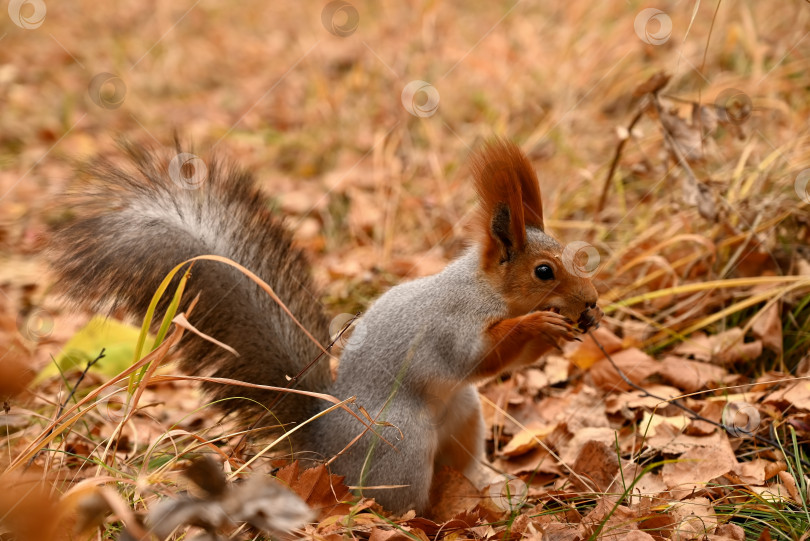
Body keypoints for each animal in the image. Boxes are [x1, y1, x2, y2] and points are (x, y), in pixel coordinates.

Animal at [49, 137, 600, 512]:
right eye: (544, 271)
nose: (592, 301)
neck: (483, 291)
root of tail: (323, 455)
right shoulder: (451, 327)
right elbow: (482, 357)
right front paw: (540, 326)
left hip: (463, 416)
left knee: (458, 467)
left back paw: (486, 493)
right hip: (401, 444)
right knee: (393, 503)